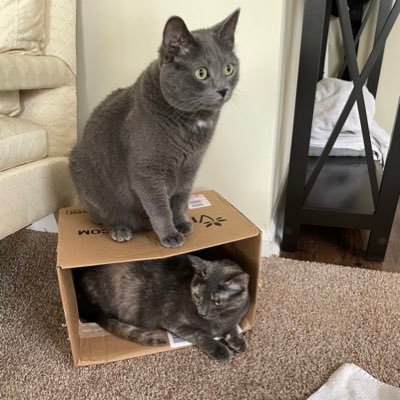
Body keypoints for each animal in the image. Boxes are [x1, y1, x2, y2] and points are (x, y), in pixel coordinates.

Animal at [68, 10, 241, 247]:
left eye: (229, 69)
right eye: (202, 73)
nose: (223, 90)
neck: (192, 121)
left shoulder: (190, 167)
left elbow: (180, 200)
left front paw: (182, 223)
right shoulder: (147, 171)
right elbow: (159, 207)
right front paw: (169, 234)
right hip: (88, 180)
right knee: (104, 216)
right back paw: (120, 229)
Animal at [74, 255, 250, 364]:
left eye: (217, 302)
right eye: (197, 296)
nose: (202, 312)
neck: (222, 318)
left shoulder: (236, 315)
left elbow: (234, 326)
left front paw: (238, 341)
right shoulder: (172, 321)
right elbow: (199, 333)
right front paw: (220, 350)